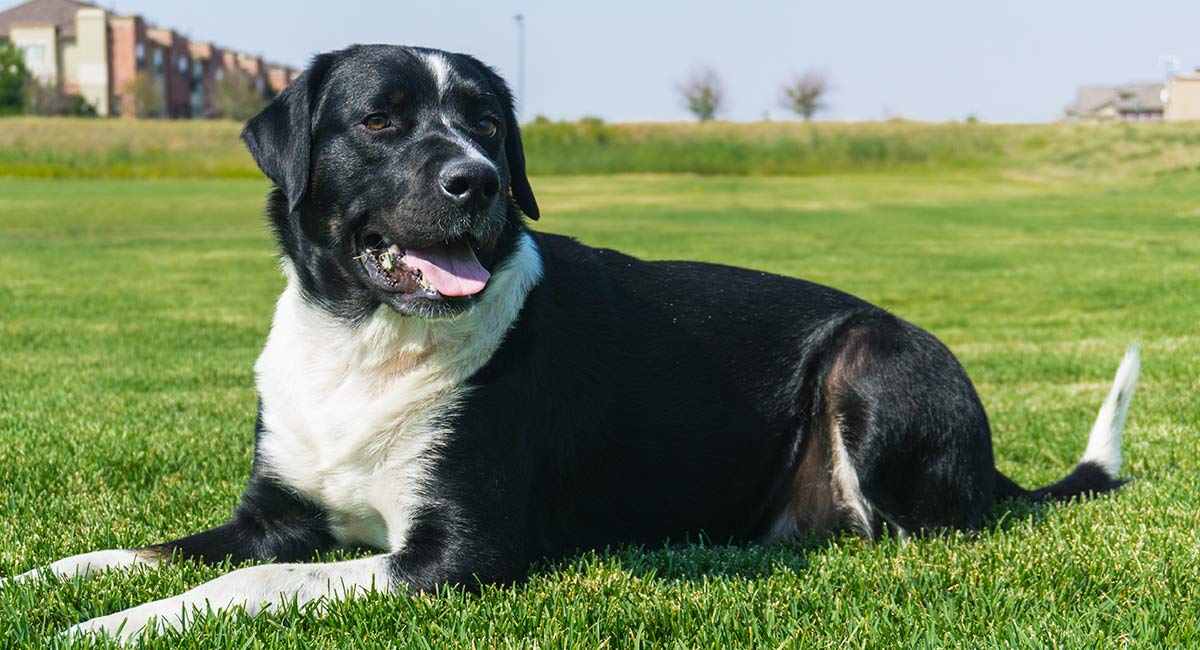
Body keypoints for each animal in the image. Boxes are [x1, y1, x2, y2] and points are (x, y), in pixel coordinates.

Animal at [4, 44, 1137, 642]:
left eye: (487, 124)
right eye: (380, 120)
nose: (476, 182)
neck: (368, 343)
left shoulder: (456, 558)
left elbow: (248, 585)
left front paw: (114, 625)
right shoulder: (270, 516)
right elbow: (126, 551)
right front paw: (41, 585)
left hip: (870, 359)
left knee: (914, 529)